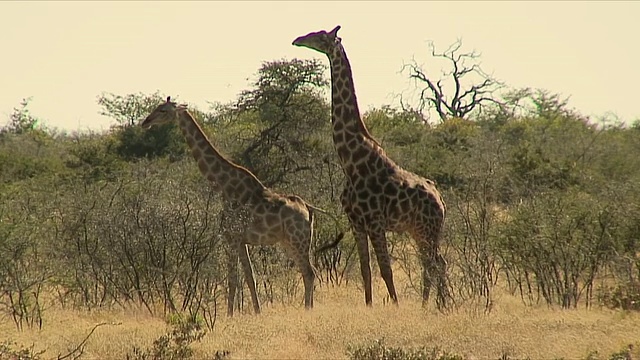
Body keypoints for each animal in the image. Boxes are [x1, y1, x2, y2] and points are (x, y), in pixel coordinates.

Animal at [142, 95, 336, 316]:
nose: (145, 122)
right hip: (290, 241)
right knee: (307, 271)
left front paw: (229, 315)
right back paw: (307, 308)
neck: (224, 186)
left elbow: (233, 279)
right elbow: (250, 277)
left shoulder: (231, 237)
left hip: (298, 239)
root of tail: (308, 210)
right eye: (157, 107)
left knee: (310, 272)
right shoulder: (241, 240)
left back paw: (307, 310)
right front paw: (257, 312)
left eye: (163, 110)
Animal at [292, 25, 448, 308]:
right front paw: (369, 305)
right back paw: (432, 306)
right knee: (433, 264)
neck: (351, 162)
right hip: (419, 231)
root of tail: (441, 201)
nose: (297, 40)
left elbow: (385, 269)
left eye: (320, 36)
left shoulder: (375, 221)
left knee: (435, 264)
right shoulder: (356, 222)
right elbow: (366, 270)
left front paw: (395, 306)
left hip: (428, 229)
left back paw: (437, 306)